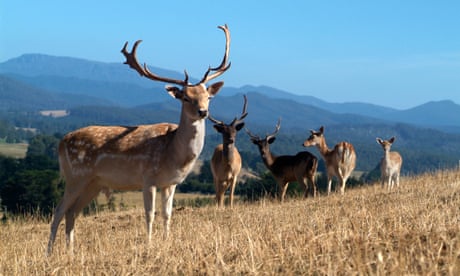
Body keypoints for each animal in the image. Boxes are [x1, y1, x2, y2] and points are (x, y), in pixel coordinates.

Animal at [47, 24, 230, 254]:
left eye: (208, 96)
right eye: (186, 98)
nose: (203, 111)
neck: (173, 153)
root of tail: (61, 143)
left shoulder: (171, 183)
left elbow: (167, 214)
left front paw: (167, 241)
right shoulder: (147, 178)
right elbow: (149, 214)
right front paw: (149, 244)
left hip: (93, 183)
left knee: (72, 213)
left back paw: (71, 251)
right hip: (75, 176)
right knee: (58, 211)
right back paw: (49, 253)